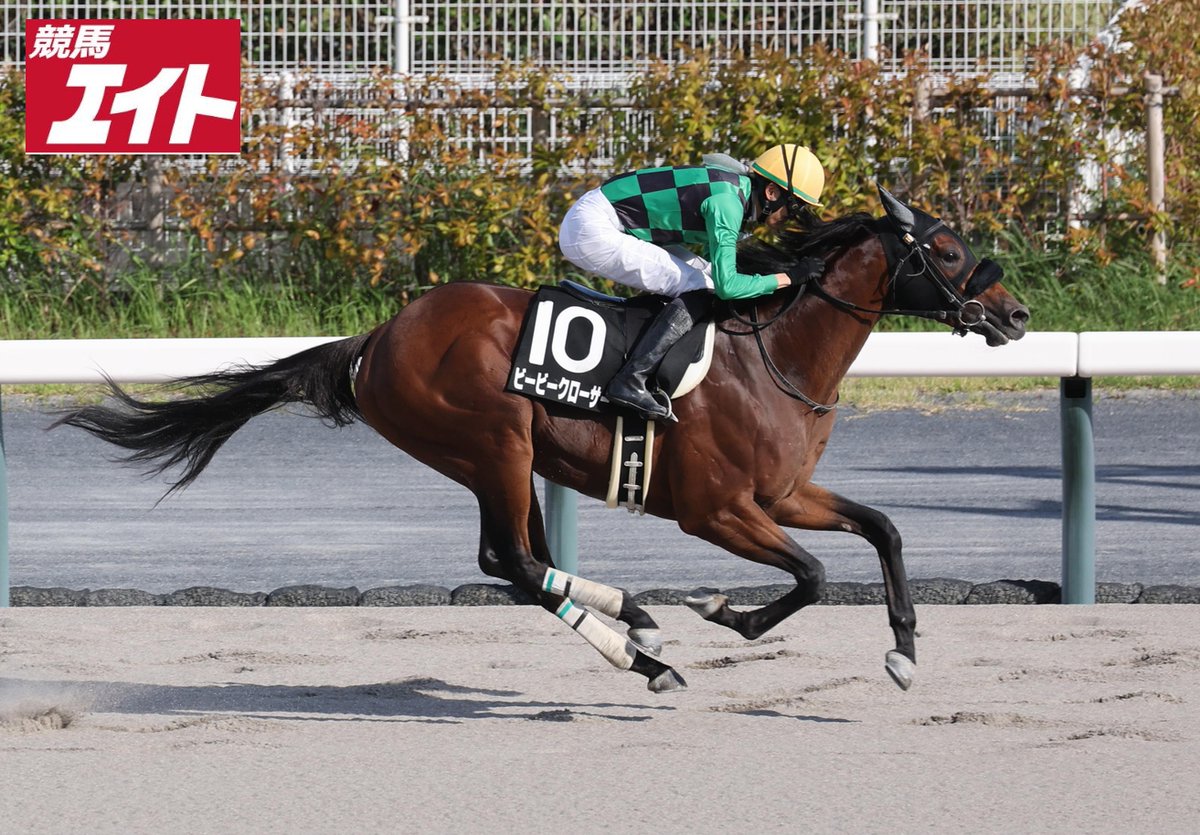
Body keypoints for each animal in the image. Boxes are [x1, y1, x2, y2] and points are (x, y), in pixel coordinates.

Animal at [56, 185, 1028, 694]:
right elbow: (817, 574)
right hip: (494, 440)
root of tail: (379, 336)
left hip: (498, 456)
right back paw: (638, 643)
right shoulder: (716, 510)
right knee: (516, 560)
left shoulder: (784, 493)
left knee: (514, 559)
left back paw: (633, 625)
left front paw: (904, 650)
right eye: (946, 251)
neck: (774, 355)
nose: (1016, 314)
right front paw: (727, 612)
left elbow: (884, 530)